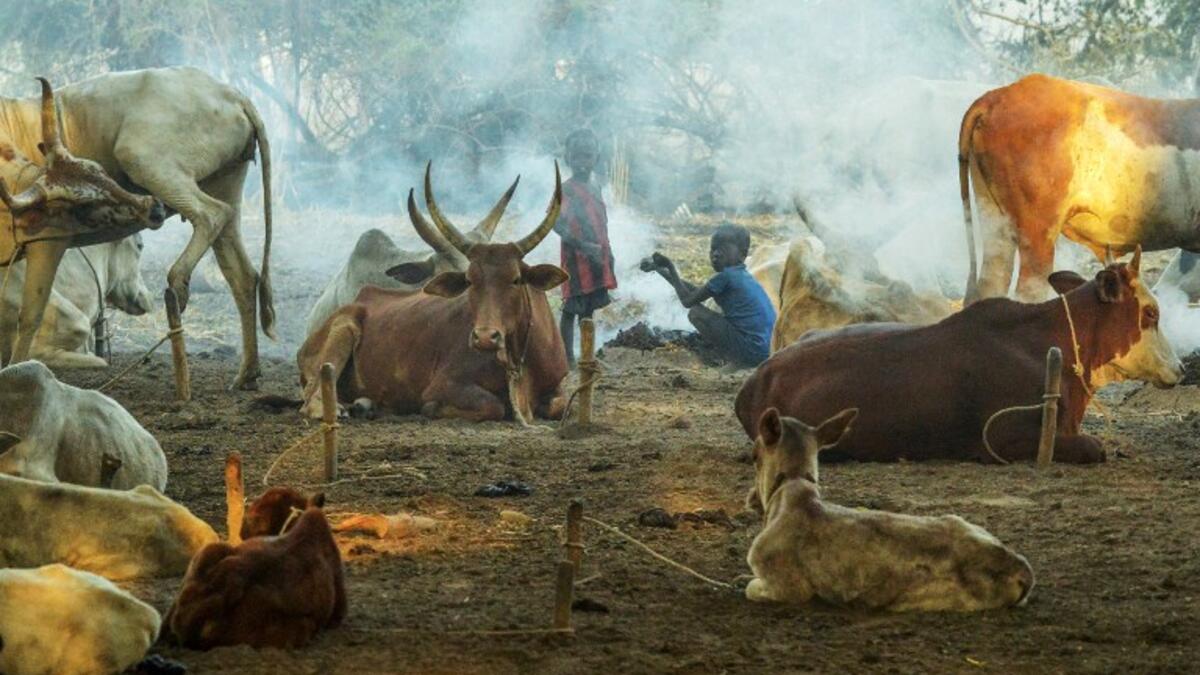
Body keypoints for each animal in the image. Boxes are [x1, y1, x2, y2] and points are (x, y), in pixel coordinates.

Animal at [735, 252, 1183, 464]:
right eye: (1150, 313)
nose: (1179, 368)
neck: (1047, 342)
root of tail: (756, 379)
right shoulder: (1005, 438)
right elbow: (1095, 447)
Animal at [744, 407, 1034, 611]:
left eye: (754, 455)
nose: (751, 499)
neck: (788, 492)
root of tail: (1022, 569)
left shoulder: (787, 587)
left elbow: (749, 587)